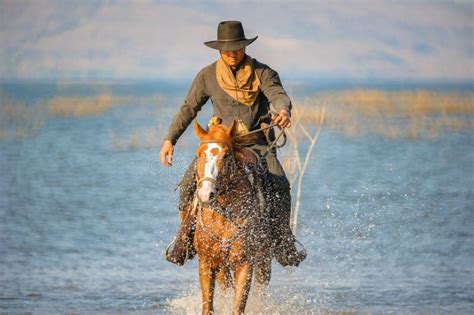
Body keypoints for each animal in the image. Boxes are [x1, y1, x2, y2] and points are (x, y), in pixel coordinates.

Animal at [193, 119, 272, 314]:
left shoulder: (245, 264)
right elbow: (208, 307)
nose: (206, 194)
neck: (224, 217)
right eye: (198, 155)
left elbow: (238, 306)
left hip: (263, 260)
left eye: (227, 155)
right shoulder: (206, 262)